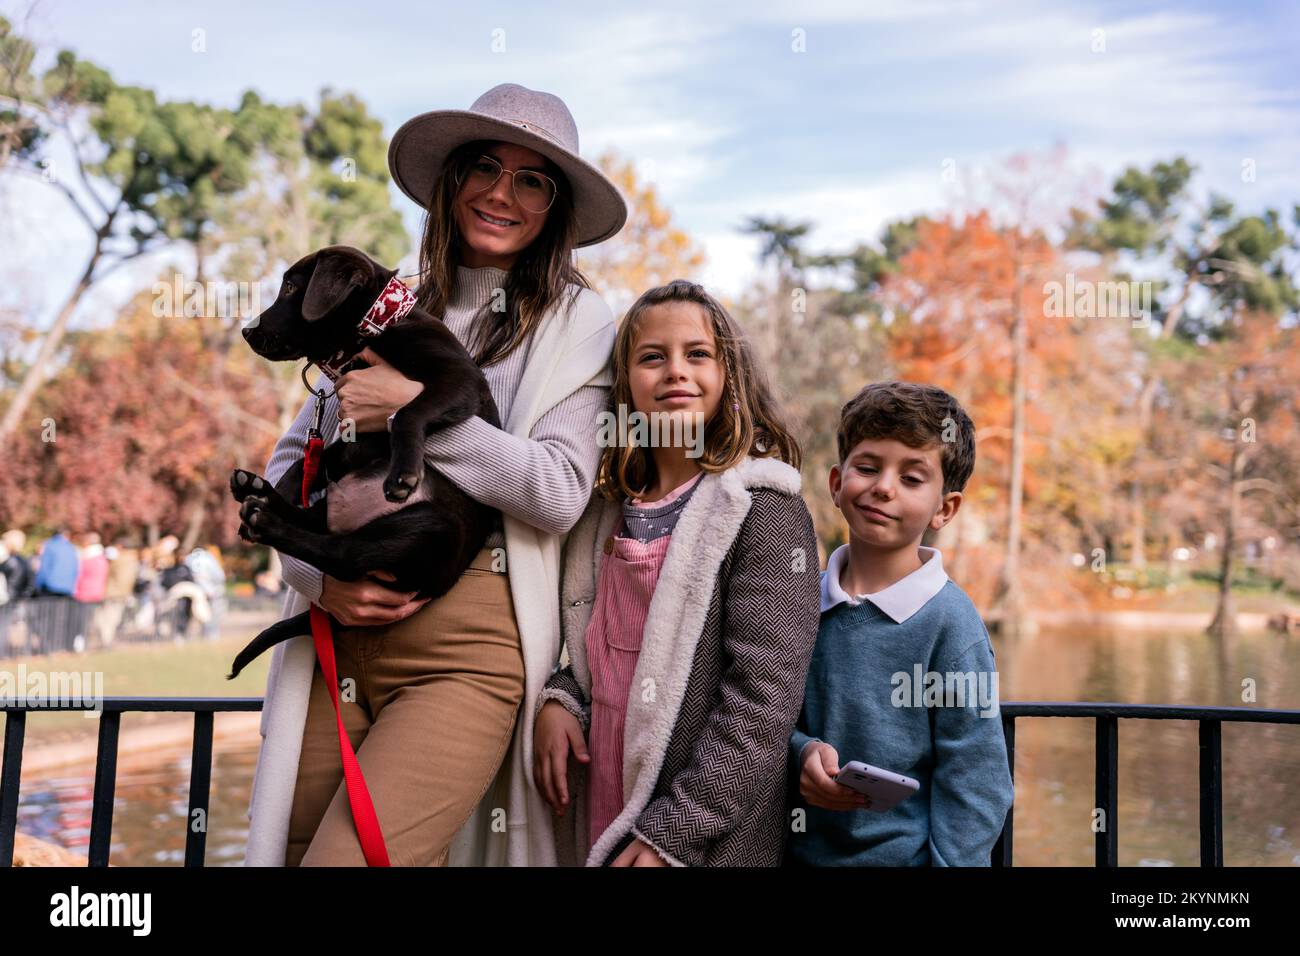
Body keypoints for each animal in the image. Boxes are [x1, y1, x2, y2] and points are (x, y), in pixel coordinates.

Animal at [226, 247, 499, 681]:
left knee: (341, 554)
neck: (376, 328)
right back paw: (258, 494)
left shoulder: (459, 379)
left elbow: (406, 412)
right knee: (318, 521)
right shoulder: (349, 438)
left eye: (291, 288)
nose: (247, 332)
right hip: (342, 503)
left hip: (428, 528)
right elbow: (307, 459)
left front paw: (403, 472)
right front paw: (276, 487)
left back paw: (266, 520)